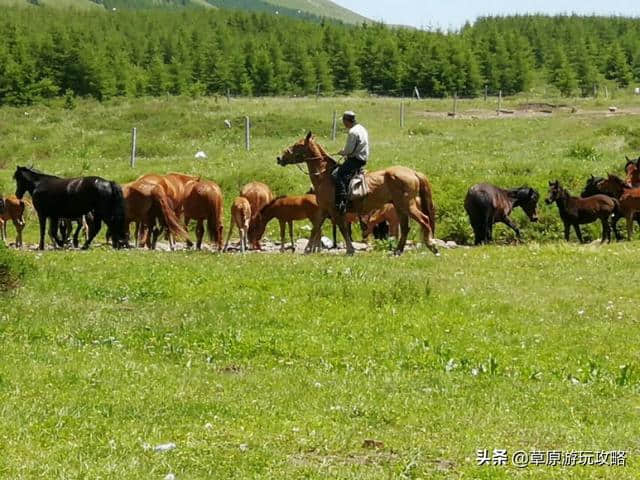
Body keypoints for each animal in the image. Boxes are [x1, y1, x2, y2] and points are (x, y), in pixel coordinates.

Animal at [278, 132, 438, 255]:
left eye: (298, 145)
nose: (279, 158)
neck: (325, 175)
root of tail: (413, 172)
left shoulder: (335, 210)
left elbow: (342, 229)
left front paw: (350, 250)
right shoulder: (324, 210)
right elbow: (316, 228)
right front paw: (307, 250)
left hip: (407, 206)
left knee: (424, 220)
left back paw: (431, 246)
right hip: (400, 207)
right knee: (405, 228)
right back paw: (398, 251)